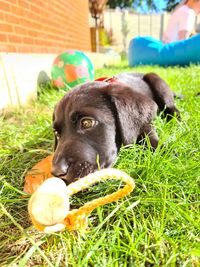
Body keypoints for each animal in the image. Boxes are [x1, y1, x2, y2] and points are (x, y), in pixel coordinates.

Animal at [51, 72, 180, 184]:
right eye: (56, 134)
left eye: (87, 123)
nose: (57, 172)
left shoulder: (145, 123)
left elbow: (150, 137)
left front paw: (167, 153)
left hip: (156, 81)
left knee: (172, 108)